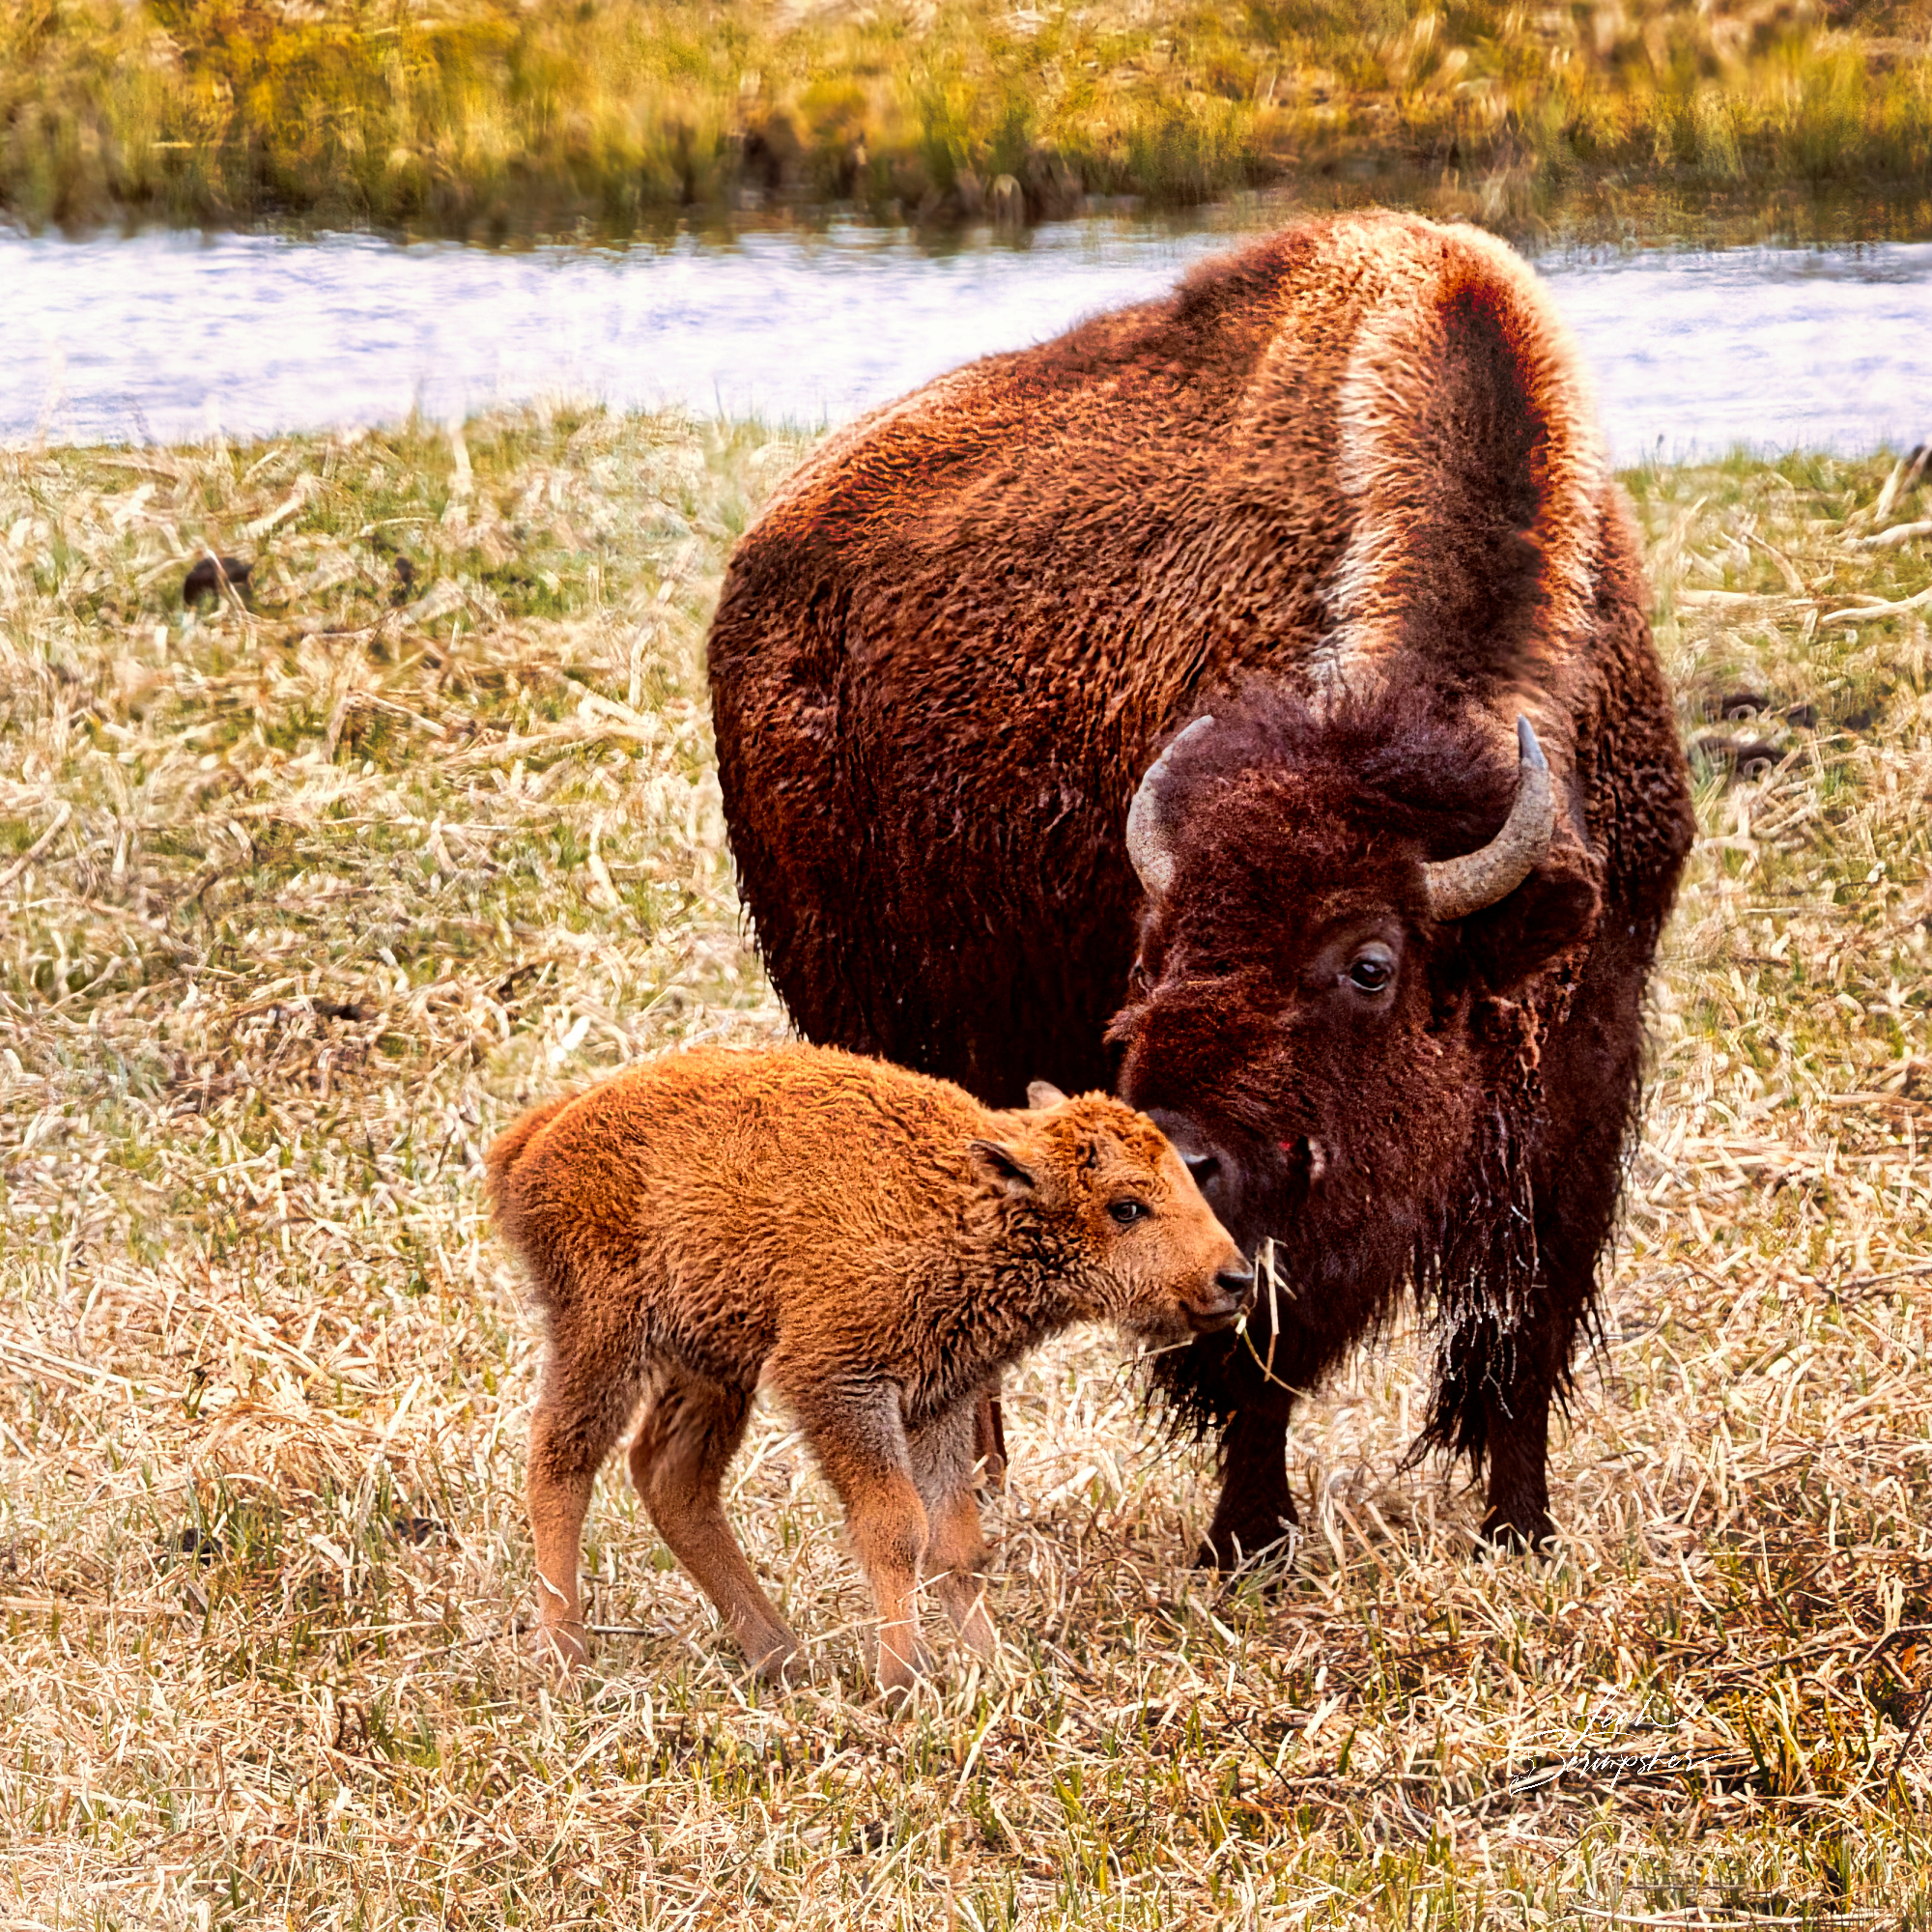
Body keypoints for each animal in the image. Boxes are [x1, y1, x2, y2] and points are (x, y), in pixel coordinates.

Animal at [705, 211, 1695, 1560]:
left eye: (1369, 963)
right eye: (1149, 951)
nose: (1186, 1148)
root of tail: (765, 556)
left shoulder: (1581, 1080)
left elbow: (1519, 1334)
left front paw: (1518, 1531)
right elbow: (1253, 1350)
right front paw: (1249, 1542)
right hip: (872, 1023)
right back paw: (971, 1477)